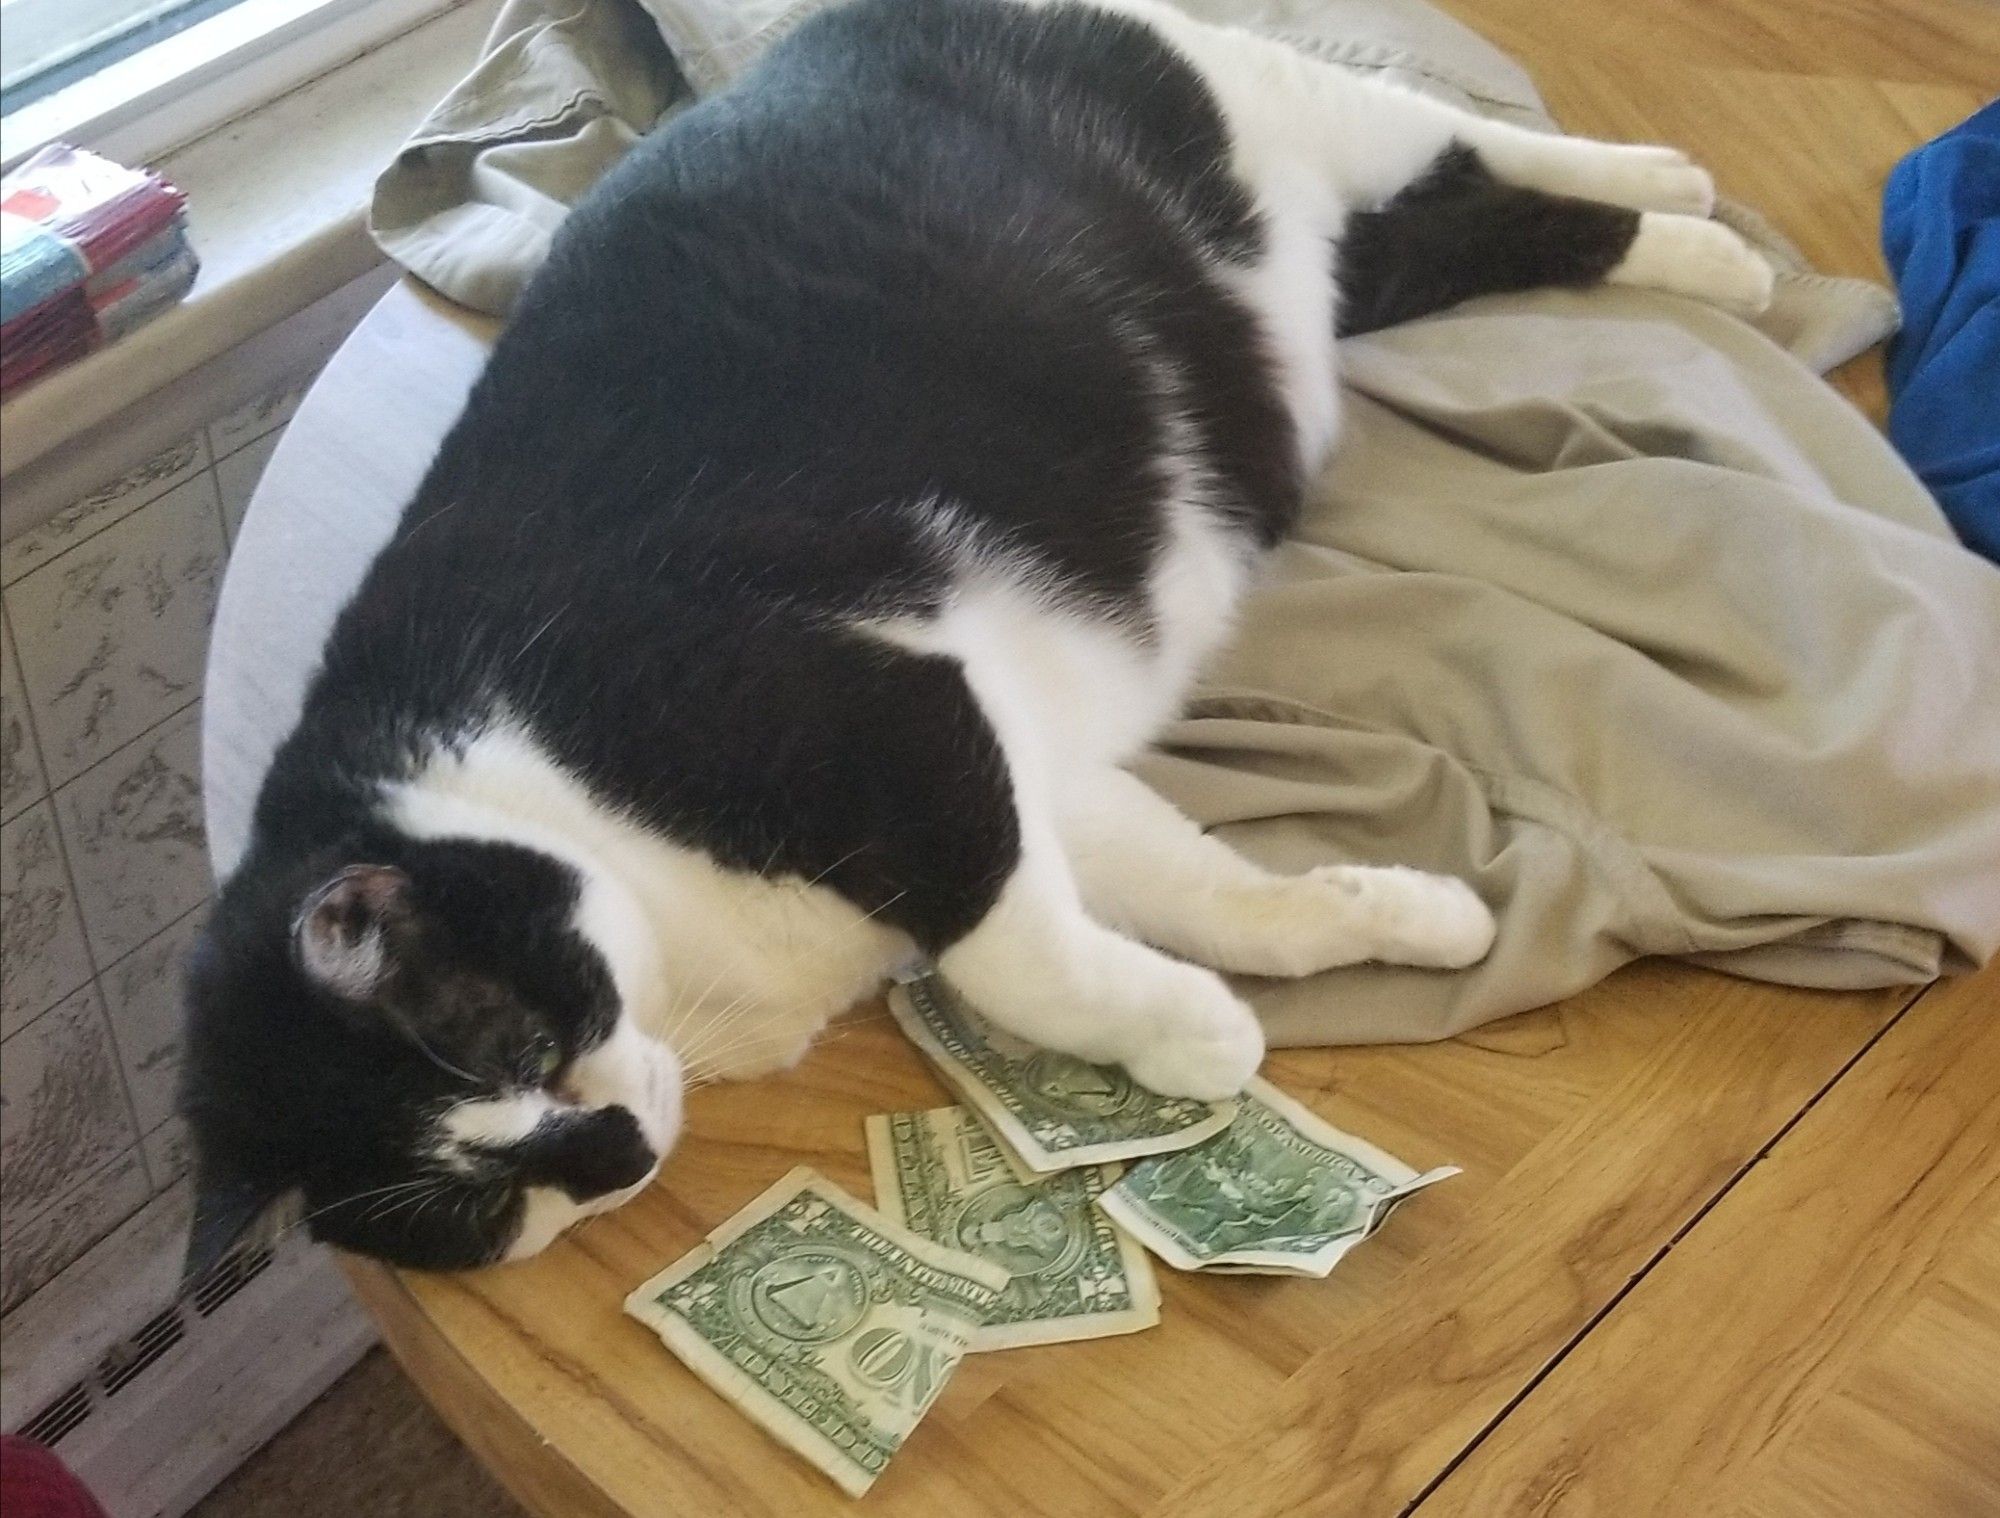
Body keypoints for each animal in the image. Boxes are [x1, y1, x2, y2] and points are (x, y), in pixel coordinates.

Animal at [180, 0, 1776, 1272]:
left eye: (515, 1043)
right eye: (466, 1210)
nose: (613, 1154)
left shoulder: (883, 712)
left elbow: (1010, 963)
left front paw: (1198, 1037)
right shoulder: (1016, 762)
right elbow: (1193, 890)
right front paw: (1389, 920)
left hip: (1255, 99)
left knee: (1455, 138)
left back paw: (1690, 208)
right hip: (1328, 274)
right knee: (1470, 227)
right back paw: (1691, 235)